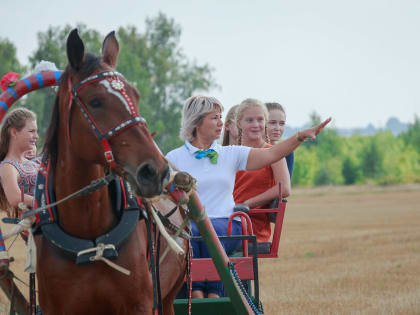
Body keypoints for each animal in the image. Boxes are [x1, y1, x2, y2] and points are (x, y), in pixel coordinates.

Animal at [33, 28, 188, 314]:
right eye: (95, 101)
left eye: (135, 95)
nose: (155, 171)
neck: (91, 236)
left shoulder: (140, 305)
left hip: (168, 297)